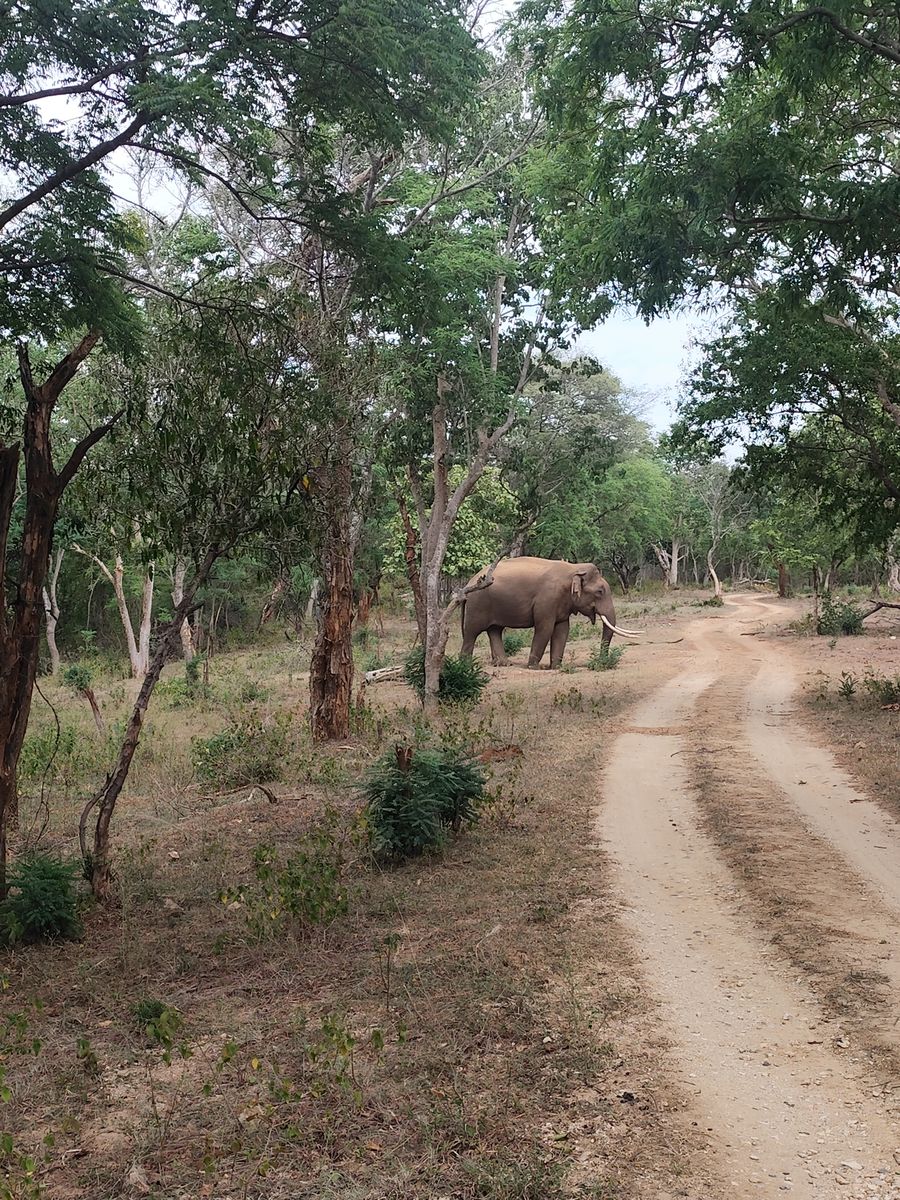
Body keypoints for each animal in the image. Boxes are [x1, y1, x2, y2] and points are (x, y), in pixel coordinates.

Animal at [459, 557, 641, 669]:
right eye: (600, 592)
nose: (599, 661)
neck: (574, 568)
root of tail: (468, 583)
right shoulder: (547, 599)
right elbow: (545, 628)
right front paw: (533, 667)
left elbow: (562, 630)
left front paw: (556, 667)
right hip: (477, 604)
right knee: (471, 632)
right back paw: (465, 665)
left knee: (495, 630)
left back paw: (505, 664)